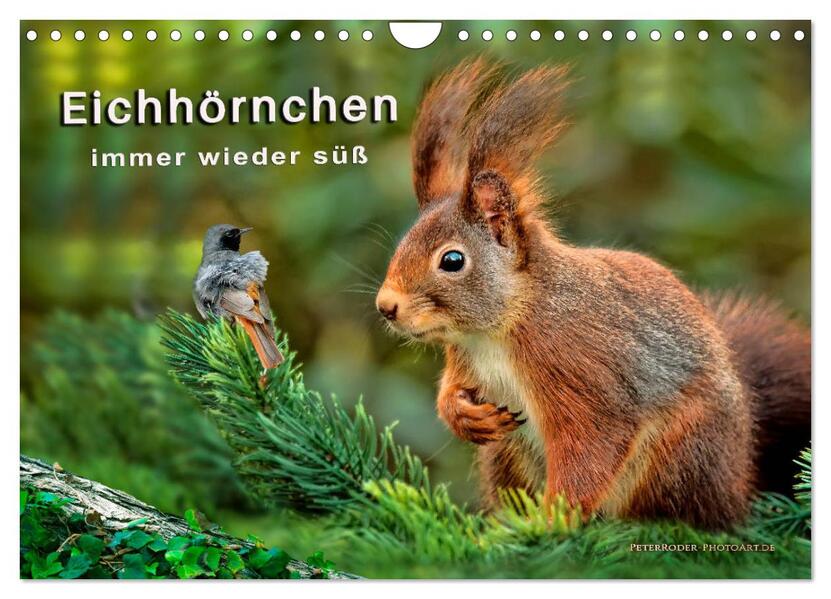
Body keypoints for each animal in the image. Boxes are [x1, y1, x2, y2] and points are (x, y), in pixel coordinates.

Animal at [375, 59, 811, 530]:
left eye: (452, 260)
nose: (386, 307)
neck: (497, 330)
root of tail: (737, 482)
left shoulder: (578, 367)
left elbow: (591, 445)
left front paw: (551, 521)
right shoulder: (465, 358)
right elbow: (451, 391)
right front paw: (463, 415)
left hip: (678, 453)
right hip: (506, 456)